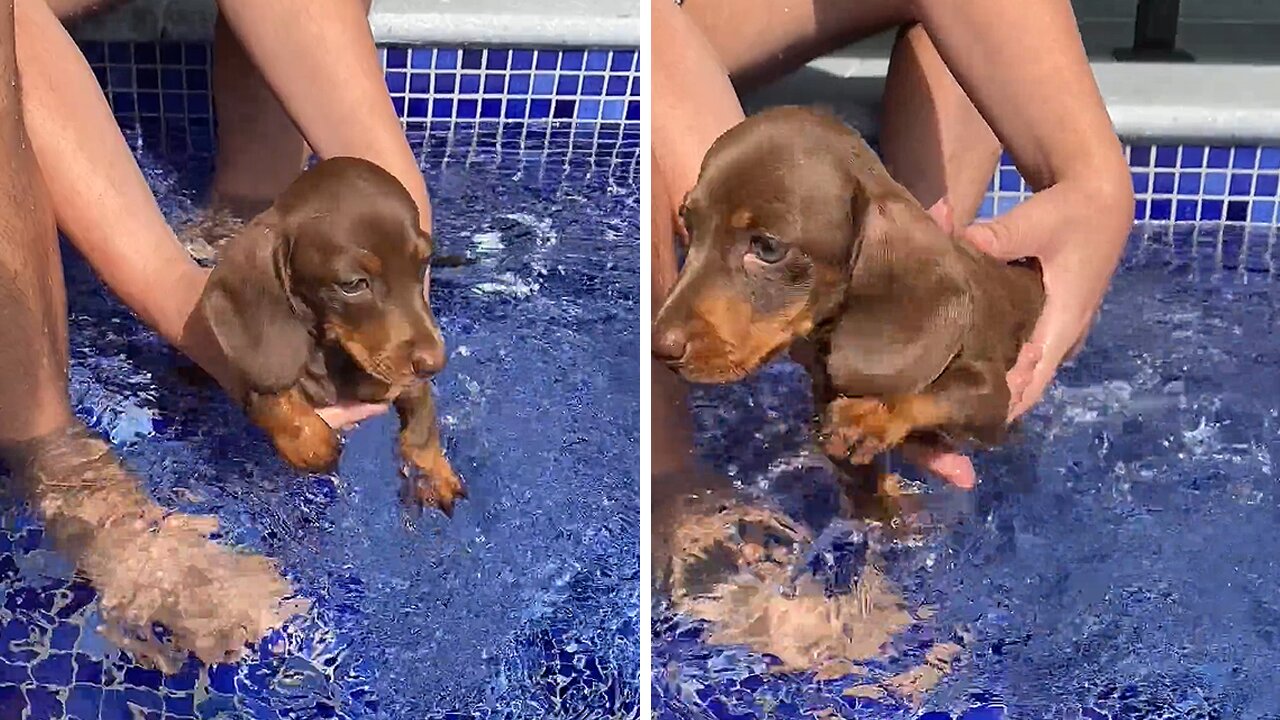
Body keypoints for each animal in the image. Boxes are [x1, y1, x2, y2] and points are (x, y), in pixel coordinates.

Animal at [194, 157, 465, 515]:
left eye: (423, 263)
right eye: (353, 284)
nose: (435, 364)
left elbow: (422, 421)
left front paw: (433, 471)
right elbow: (272, 395)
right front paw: (312, 443)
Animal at [655, 107, 1044, 504]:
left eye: (767, 247)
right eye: (689, 223)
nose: (660, 348)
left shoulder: (994, 398)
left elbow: (938, 393)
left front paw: (868, 416)